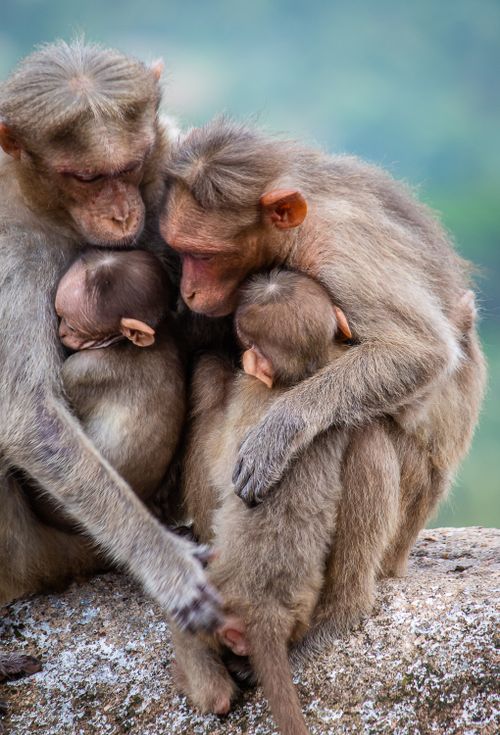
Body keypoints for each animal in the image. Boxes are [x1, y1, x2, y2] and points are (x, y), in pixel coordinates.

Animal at [0, 41, 222, 681]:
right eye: (87, 177)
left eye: (128, 167)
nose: (122, 213)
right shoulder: (10, 246)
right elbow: (28, 414)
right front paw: (167, 564)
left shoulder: (171, 162)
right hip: (35, 548)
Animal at [160, 118, 486, 642]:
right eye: (181, 252)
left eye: (205, 256)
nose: (188, 290)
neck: (294, 234)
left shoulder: (340, 249)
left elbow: (419, 350)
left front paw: (280, 431)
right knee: (211, 371)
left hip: (408, 517)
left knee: (365, 431)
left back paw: (342, 606)